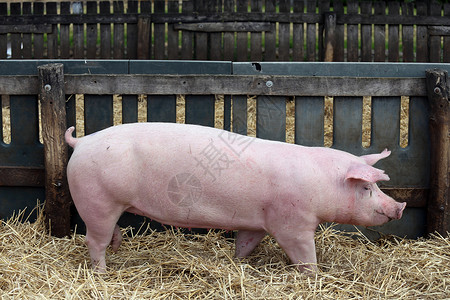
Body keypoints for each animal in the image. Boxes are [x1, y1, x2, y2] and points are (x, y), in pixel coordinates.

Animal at [65, 122, 406, 272]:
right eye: (366, 188)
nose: (399, 206)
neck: (321, 184)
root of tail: (81, 142)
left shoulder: (257, 221)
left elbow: (245, 243)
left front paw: (238, 261)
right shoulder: (292, 222)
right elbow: (304, 253)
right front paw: (314, 275)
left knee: (110, 232)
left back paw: (117, 248)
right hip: (97, 200)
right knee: (93, 240)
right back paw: (102, 271)